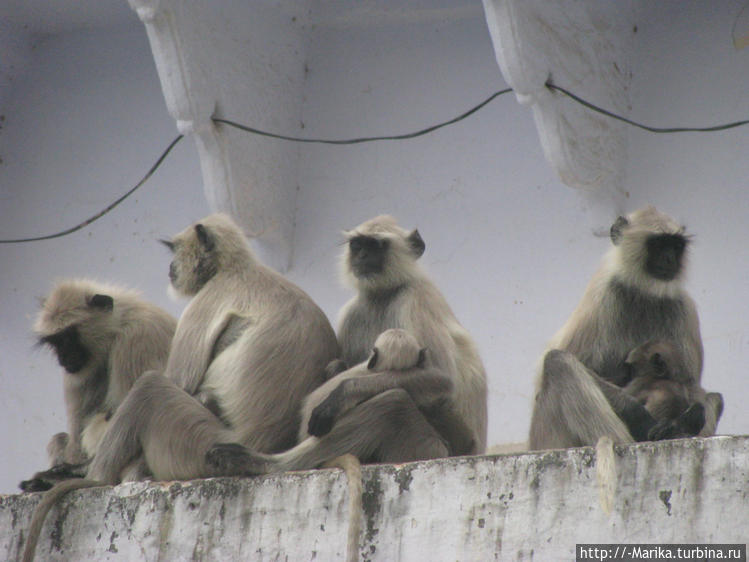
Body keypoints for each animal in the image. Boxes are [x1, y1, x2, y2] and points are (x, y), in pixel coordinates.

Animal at [19, 280, 175, 490]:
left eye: (68, 337)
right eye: (56, 341)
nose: (63, 358)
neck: (119, 324)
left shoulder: (137, 338)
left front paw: (66, 473)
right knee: (59, 439)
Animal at [528, 203, 720, 448]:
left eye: (676, 246)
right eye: (658, 244)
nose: (670, 260)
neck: (644, 293)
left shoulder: (682, 306)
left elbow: (690, 383)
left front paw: (688, 418)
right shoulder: (604, 296)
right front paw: (639, 415)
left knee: (715, 397)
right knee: (557, 361)